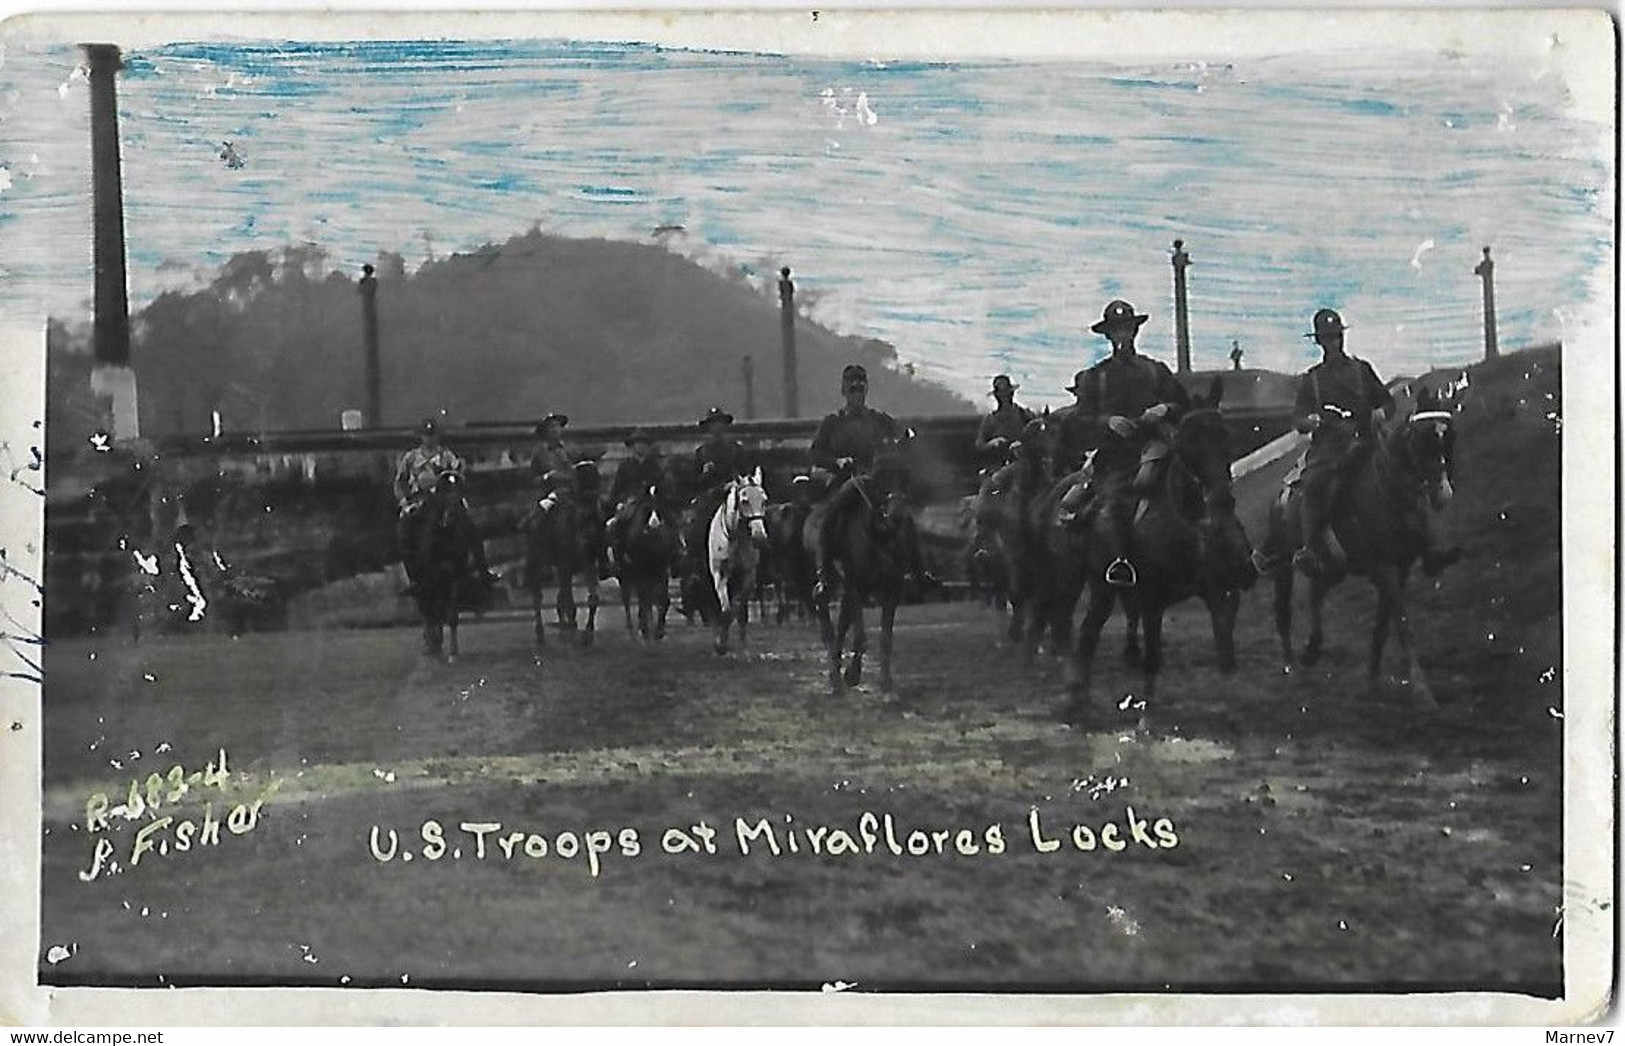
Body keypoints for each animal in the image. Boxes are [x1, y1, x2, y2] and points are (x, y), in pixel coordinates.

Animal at [520, 461, 604, 649]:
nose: (588, 534)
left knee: (561, 596)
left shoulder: (588, 564)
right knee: (538, 596)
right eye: (581, 490)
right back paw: (541, 634)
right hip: (536, 561)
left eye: (595, 495)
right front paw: (573, 631)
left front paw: (587, 633)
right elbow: (569, 601)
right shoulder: (565, 565)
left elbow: (592, 598)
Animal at [614, 484, 679, 646]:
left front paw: (655, 631)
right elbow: (646, 600)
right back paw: (637, 629)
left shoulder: (658, 571)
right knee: (632, 599)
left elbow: (658, 600)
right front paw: (647, 630)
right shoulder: (642, 572)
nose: (653, 526)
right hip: (631, 574)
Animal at [705, 467, 767, 652]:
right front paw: (720, 645)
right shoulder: (720, 575)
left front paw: (743, 648)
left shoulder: (748, 576)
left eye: (764, 501)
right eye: (745, 501)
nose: (759, 537)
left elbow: (741, 613)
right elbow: (725, 611)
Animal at [1066, 378, 1254, 727]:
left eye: (1226, 435)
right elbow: (1153, 658)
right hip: (1102, 587)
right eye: (1187, 442)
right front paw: (1147, 719)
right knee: (1088, 635)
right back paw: (1077, 702)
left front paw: (1231, 712)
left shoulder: (1221, 593)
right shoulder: (1154, 599)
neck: (1192, 526)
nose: (1222, 500)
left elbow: (1226, 655)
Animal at [1254, 388, 1462, 708]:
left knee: (1316, 593)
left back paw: (1312, 649)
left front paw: (1373, 677)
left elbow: (1384, 623)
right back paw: (1292, 667)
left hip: (1334, 569)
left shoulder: (1401, 568)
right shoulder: (1383, 568)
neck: (1385, 490)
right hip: (1285, 567)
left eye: (1447, 436)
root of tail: (1282, 494)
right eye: (1421, 437)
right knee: (1284, 613)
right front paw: (1422, 690)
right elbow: (1401, 622)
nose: (1443, 493)